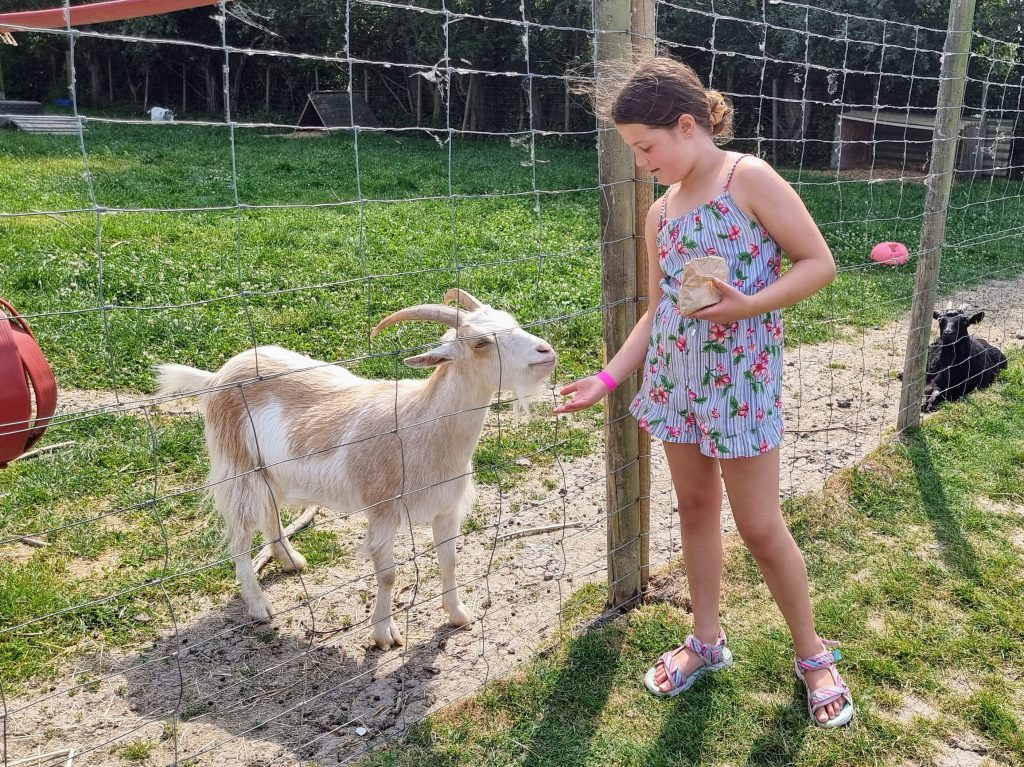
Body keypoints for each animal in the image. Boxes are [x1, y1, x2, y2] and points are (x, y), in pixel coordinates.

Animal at [155, 289, 556, 649]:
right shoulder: (383, 512)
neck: (419, 424)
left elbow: (450, 561)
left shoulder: (446, 508)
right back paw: (259, 607)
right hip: (237, 468)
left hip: (269, 471)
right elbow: (388, 575)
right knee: (239, 538)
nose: (546, 352)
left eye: (512, 321)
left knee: (270, 514)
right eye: (481, 342)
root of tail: (214, 378)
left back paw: (291, 561)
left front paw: (458, 615)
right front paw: (384, 634)